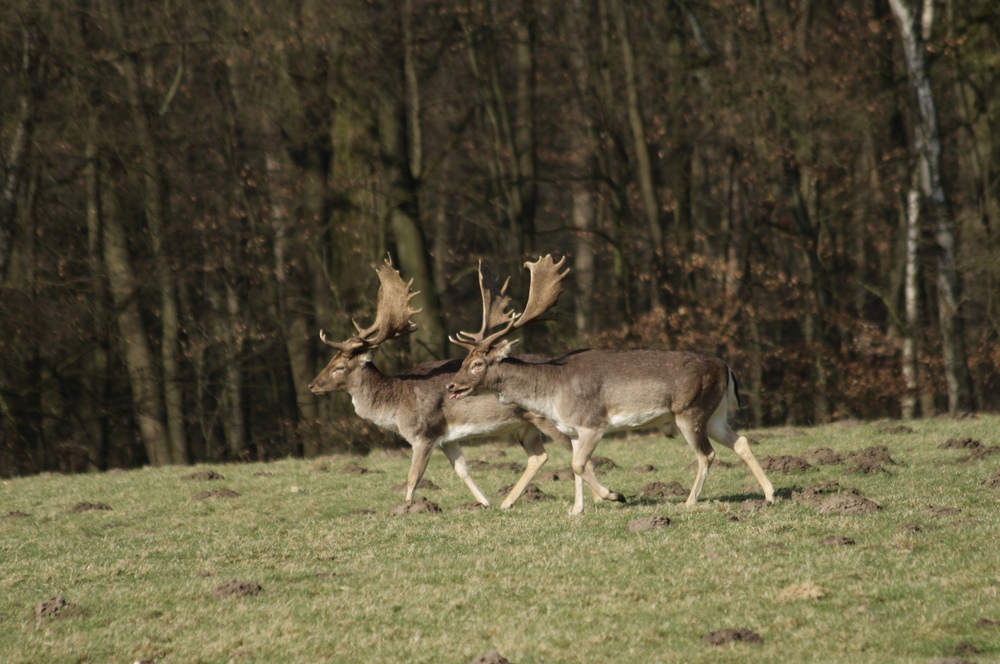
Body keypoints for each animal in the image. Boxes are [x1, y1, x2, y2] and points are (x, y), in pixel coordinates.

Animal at [308, 258, 612, 508]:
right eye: (330, 361)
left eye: (339, 366)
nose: (312, 384)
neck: (397, 405)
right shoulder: (447, 438)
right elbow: (462, 469)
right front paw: (484, 502)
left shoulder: (424, 433)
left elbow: (413, 477)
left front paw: (405, 509)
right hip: (525, 426)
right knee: (539, 457)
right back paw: (507, 502)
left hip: (547, 419)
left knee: (573, 450)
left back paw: (599, 497)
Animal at [448, 256, 780, 516]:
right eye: (465, 358)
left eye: (478, 364)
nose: (452, 385)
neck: (552, 393)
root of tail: (726, 368)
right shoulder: (573, 430)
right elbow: (574, 466)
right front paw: (576, 510)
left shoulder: (593, 422)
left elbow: (579, 465)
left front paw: (615, 496)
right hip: (715, 414)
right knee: (741, 441)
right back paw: (770, 493)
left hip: (690, 410)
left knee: (707, 454)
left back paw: (689, 502)